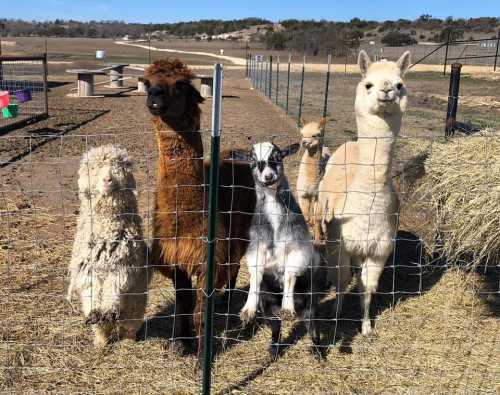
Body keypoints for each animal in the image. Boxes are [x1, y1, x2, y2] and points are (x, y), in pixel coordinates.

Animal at [233, 142, 320, 356]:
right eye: (253, 161)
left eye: (278, 157)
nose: (268, 177)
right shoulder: (257, 248)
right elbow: (255, 278)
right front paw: (247, 309)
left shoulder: (297, 248)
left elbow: (289, 275)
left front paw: (288, 307)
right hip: (269, 304)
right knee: (276, 326)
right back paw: (273, 350)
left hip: (309, 302)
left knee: (312, 326)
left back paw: (318, 352)